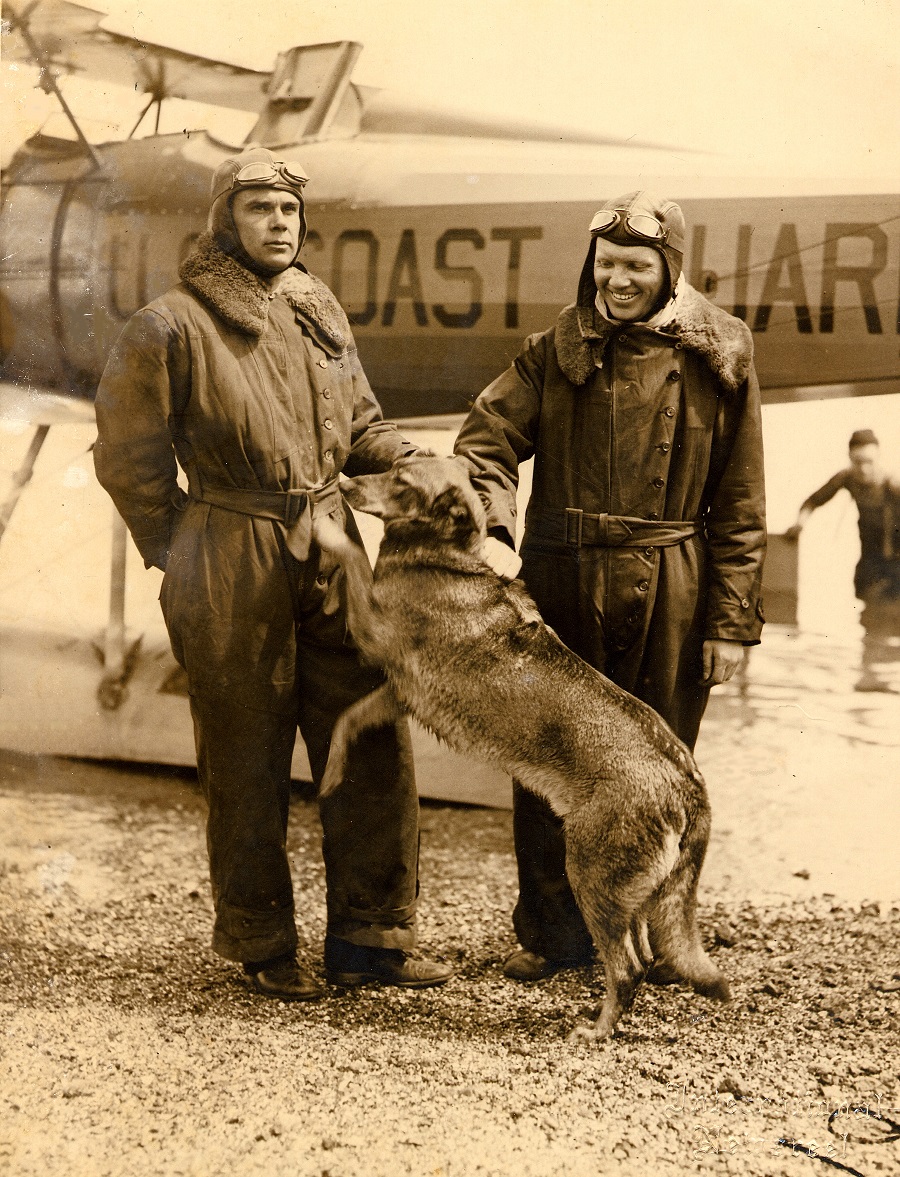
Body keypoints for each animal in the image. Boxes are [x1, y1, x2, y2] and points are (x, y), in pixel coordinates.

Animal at [312, 454, 724, 1035]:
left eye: (401, 481)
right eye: (393, 466)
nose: (344, 484)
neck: (445, 559)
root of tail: (689, 783)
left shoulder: (373, 634)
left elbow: (350, 556)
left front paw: (324, 531)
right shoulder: (398, 692)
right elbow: (346, 723)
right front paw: (330, 775)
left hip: (590, 875)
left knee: (627, 967)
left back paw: (596, 1030)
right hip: (633, 892)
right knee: (641, 956)